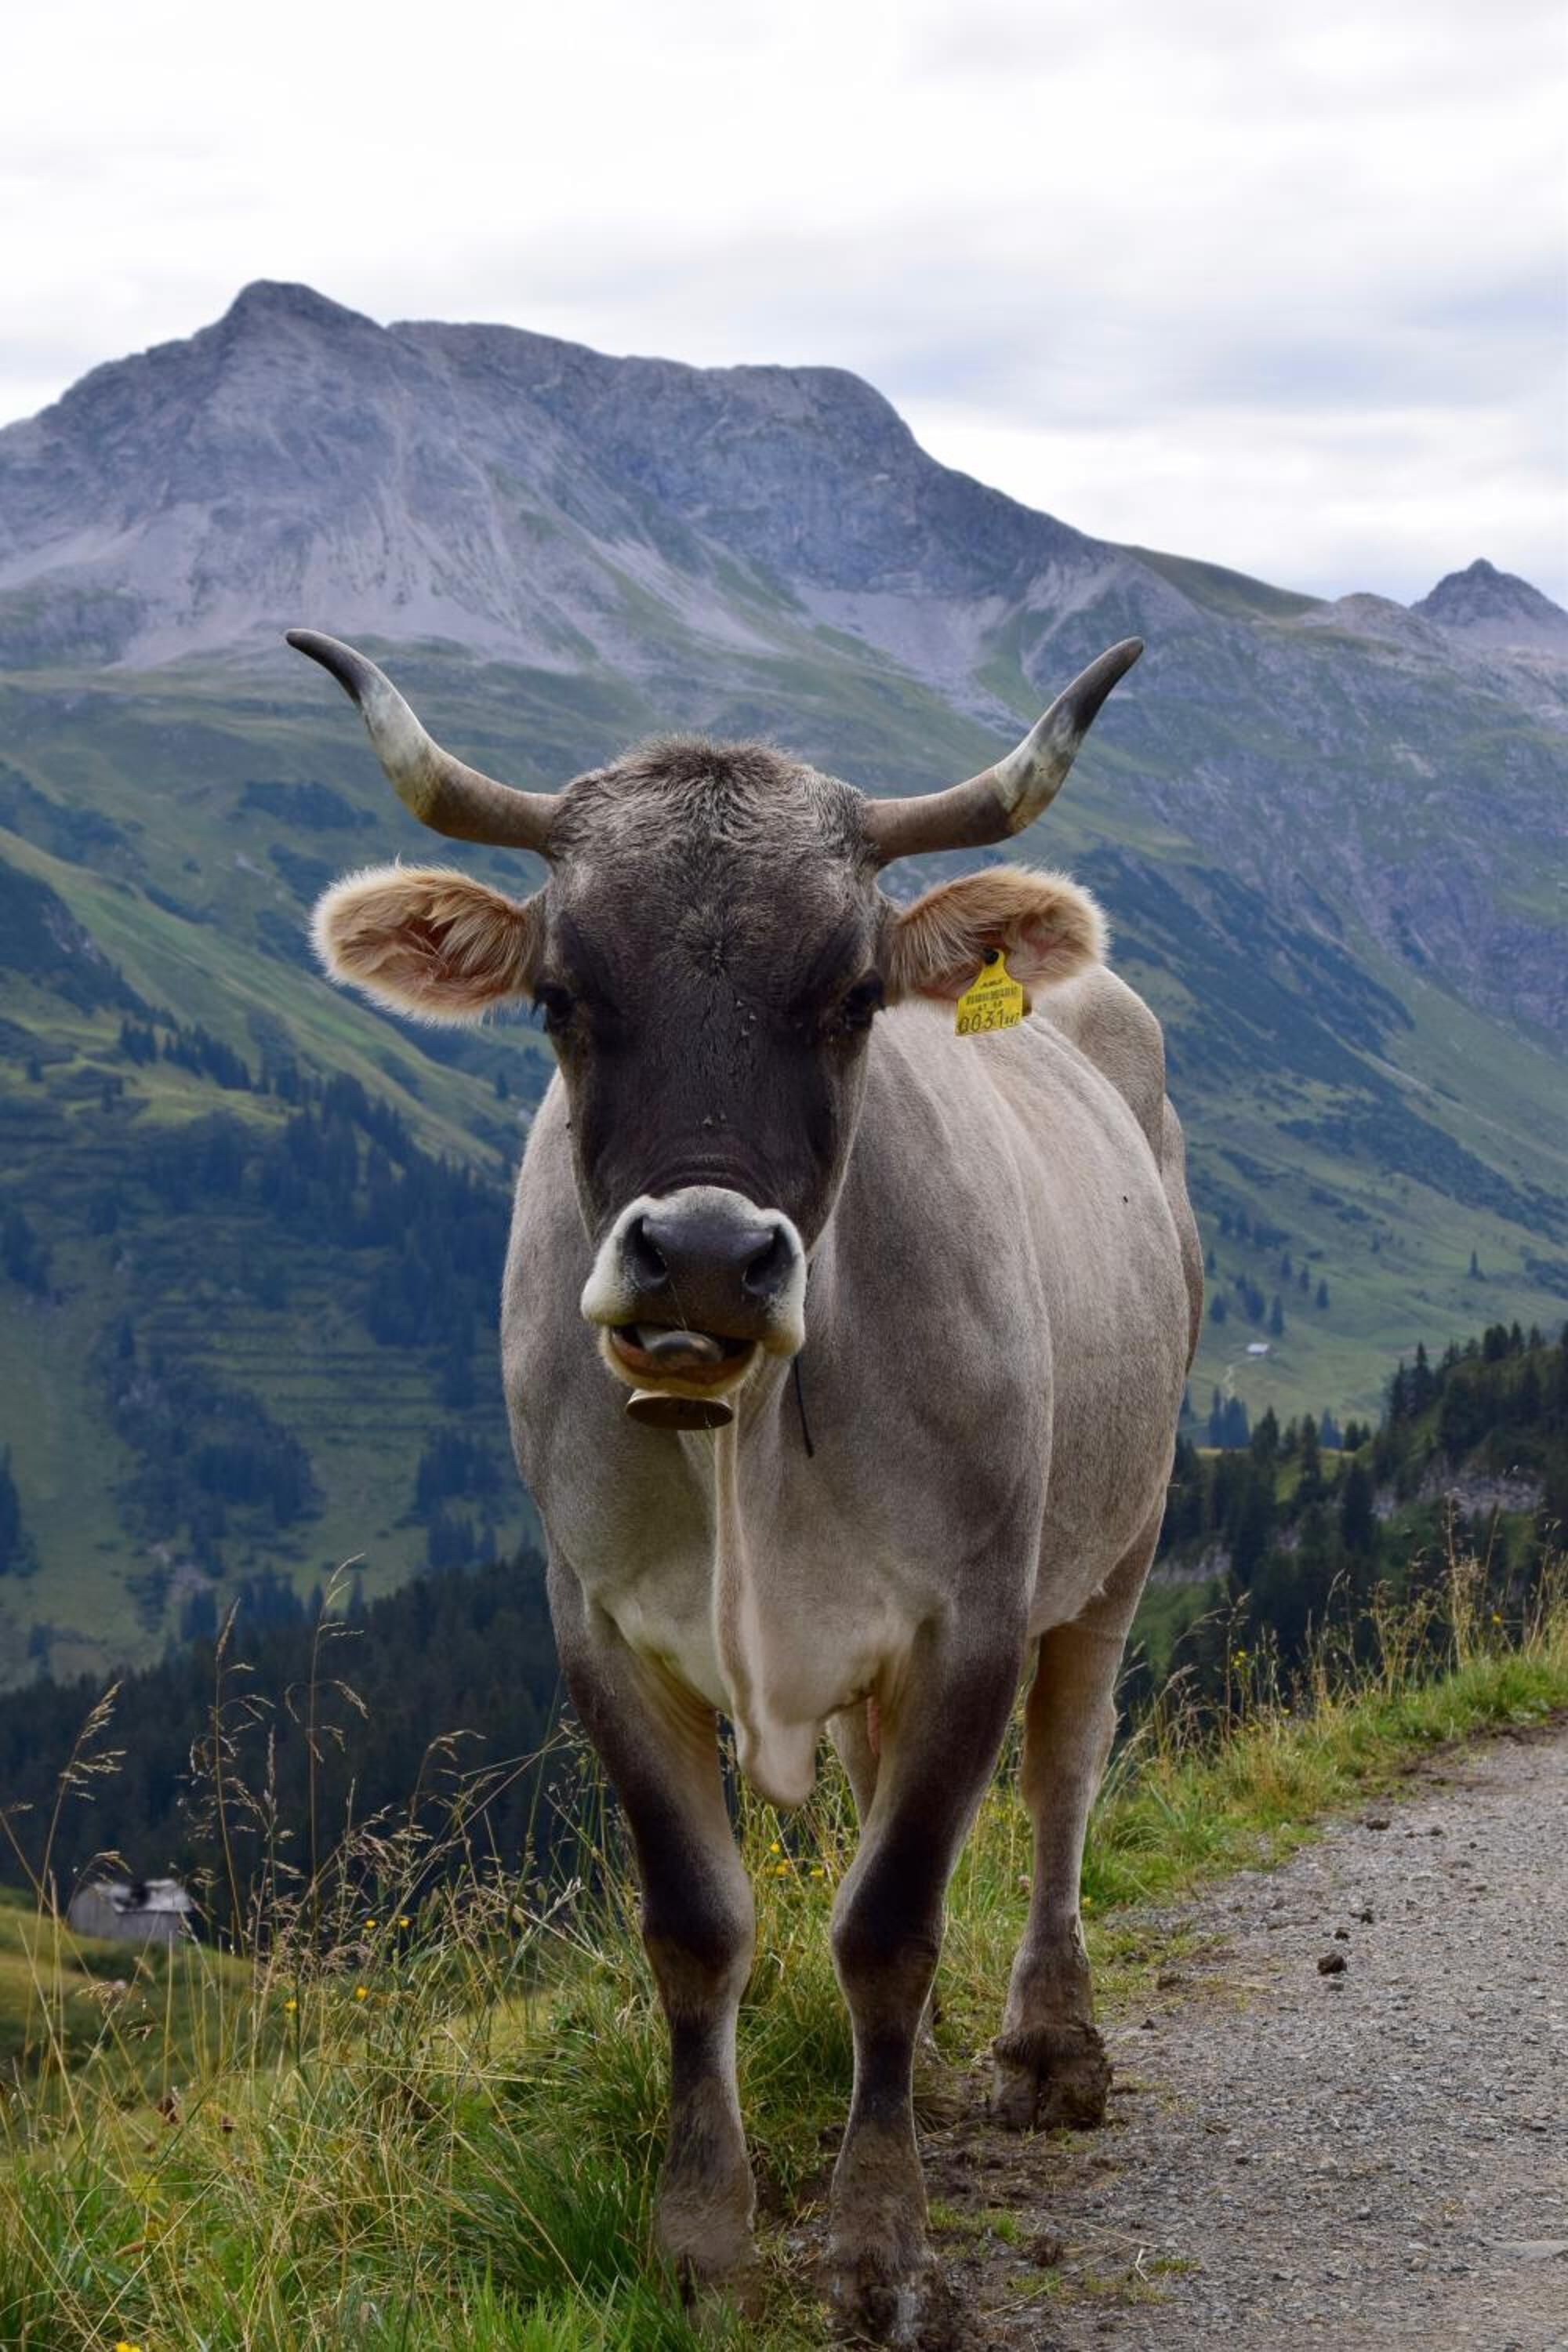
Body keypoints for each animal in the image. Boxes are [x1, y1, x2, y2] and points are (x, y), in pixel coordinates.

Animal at [293, 625, 1201, 2343]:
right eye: (561, 996)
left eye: (851, 997)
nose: (706, 1257)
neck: (744, 1449)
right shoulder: (596, 1628)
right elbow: (698, 1928)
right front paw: (701, 2233)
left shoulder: (973, 1614)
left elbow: (890, 1922)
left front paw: (881, 2247)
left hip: (1119, 1533)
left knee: (1066, 1772)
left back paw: (1049, 2048)